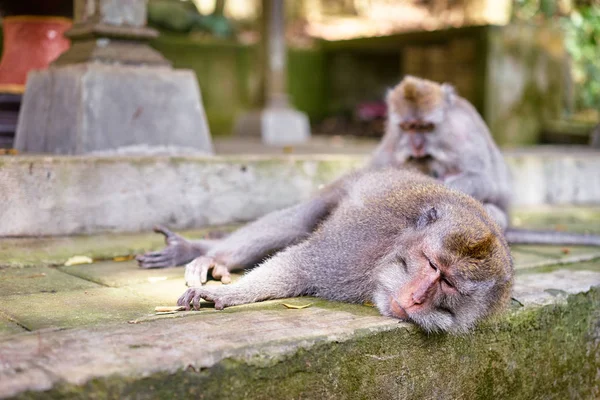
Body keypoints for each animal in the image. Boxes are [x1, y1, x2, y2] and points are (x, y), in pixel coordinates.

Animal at [175, 170, 516, 334]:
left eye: (449, 284)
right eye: (432, 264)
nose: (418, 297)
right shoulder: (355, 247)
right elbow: (301, 264)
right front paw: (228, 294)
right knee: (298, 220)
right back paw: (213, 256)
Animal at [376, 74, 600, 244]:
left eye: (426, 127)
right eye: (407, 127)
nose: (417, 145)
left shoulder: (463, 132)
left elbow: (487, 181)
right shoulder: (392, 137)